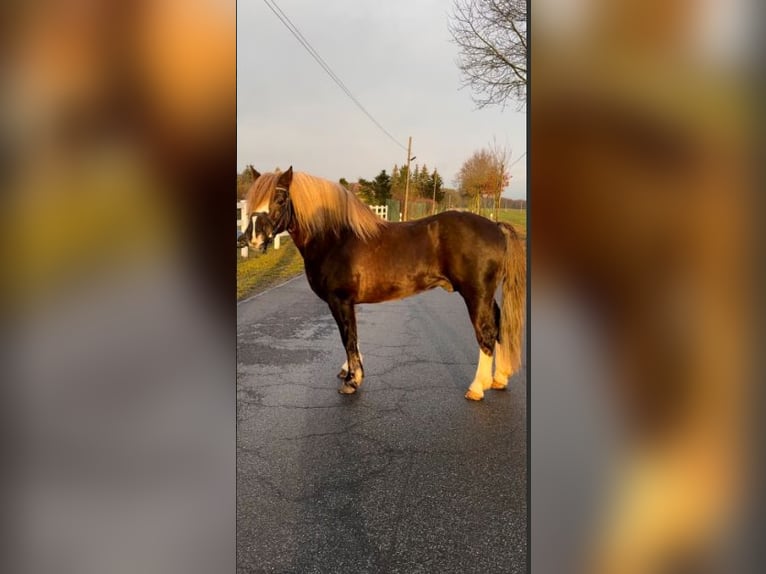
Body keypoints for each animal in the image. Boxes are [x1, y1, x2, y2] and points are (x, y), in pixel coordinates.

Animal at [240, 166, 528, 400]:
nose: (250, 239)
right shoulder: (349, 302)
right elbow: (354, 337)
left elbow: (347, 337)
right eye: (253, 199)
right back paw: (500, 378)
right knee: (499, 326)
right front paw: (351, 371)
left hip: (476, 295)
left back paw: (478, 387)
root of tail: (496, 227)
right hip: (486, 297)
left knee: (486, 333)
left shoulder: (339, 300)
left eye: (280, 199)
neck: (335, 238)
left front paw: (352, 381)